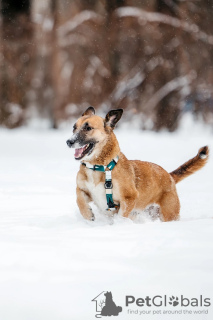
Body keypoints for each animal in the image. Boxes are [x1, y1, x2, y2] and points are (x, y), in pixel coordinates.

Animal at [66, 106, 208, 221]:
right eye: (74, 127)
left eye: (88, 128)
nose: (69, 142)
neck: (98, 167)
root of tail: (169, 176)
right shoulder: (83, 190)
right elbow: (79, 200)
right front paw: (88, 215)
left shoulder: (129, 198)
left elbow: (122, 215)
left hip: (169, 214)